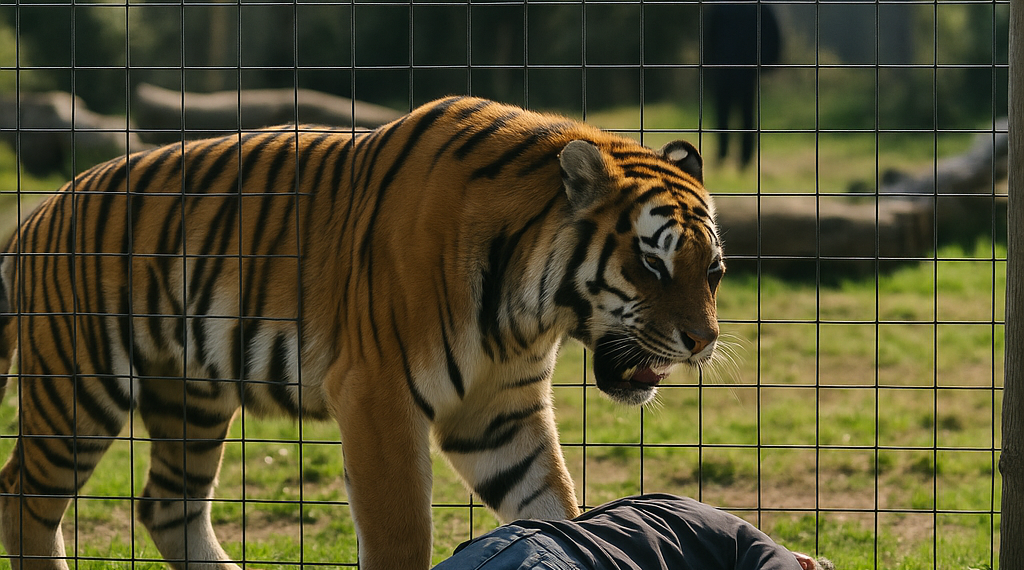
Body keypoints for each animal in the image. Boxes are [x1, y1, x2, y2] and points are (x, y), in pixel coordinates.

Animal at [0, 95, 723, 570]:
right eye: (652, 264)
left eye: (713, 269)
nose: (704, 342)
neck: (531, 310)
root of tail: (37, 214)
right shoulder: (379, 396)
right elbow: (401, 536)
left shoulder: (497, 412)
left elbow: (552, 508)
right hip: (81, 386)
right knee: (23, 499)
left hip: (191, 395)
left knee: (167, 506)